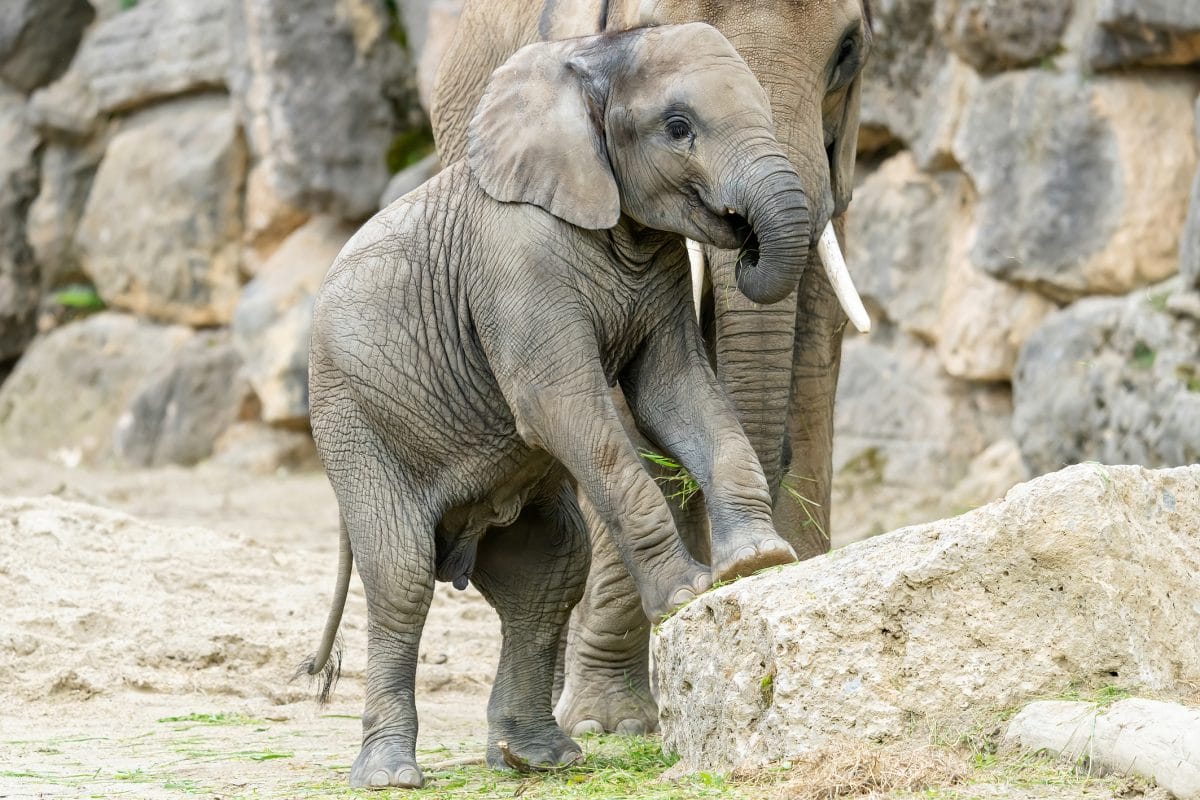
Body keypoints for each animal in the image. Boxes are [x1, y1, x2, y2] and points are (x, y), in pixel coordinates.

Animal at [304, 21, 801, 791]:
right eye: (678, 127)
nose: (745, 241)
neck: (585, 62)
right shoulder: (516, 262)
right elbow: (561, 405)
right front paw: (689, 594)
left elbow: (676, 392)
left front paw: (758, 562)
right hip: (351, 420)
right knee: (402, 574)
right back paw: (391, 776)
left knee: (549, 571)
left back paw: (538, 757)